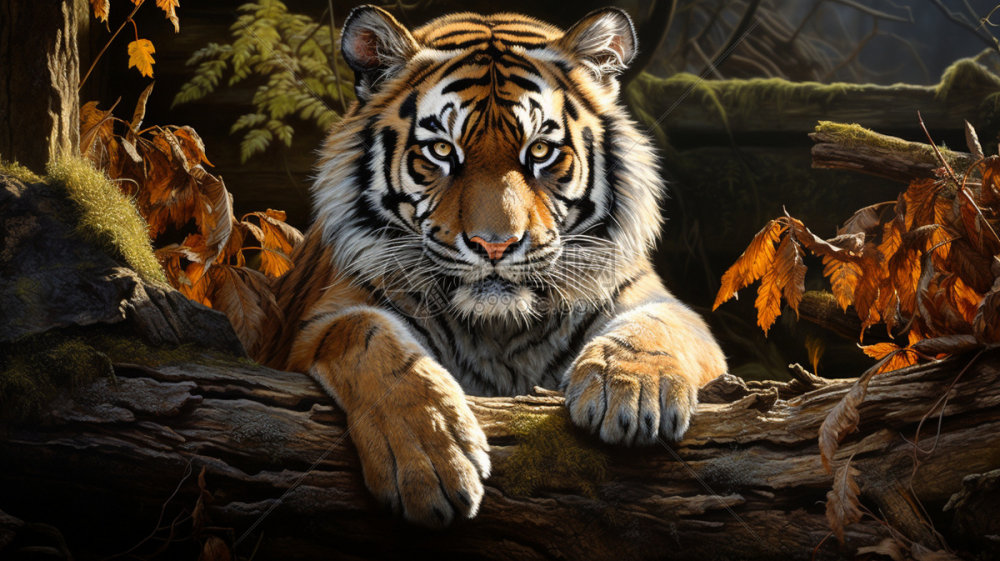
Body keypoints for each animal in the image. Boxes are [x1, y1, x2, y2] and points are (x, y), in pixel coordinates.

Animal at [258, 5, 727, 528]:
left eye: (540, 151)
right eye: (442, 151)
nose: (495, 245)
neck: (499, 329)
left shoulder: (653, 299)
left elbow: (657, 326)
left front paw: (632, 388)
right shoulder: (320, 320)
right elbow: (366, 337)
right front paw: (430, 456)